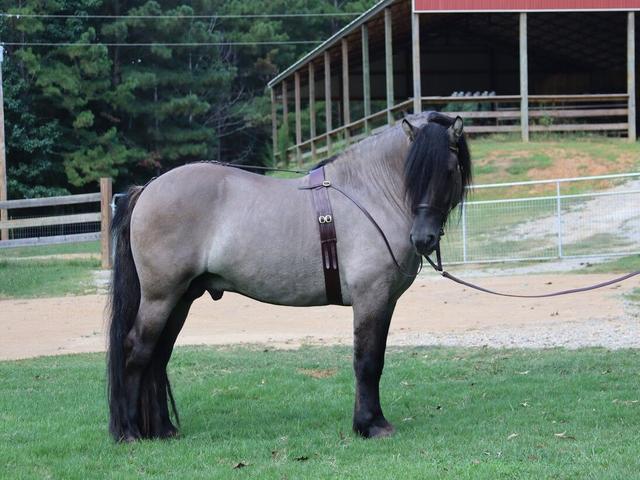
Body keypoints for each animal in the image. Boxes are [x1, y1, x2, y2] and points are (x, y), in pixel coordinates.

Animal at [107, 111, 472, 442]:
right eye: (412, 173)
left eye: (448, 170)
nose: (423, 238)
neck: (368, 194)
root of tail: (147, 189)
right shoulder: (371, 298)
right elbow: (367, 362)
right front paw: (370, 425)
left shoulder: (385, 301)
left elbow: (373, 360)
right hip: (160, 297)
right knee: (137, 351)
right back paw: (130, 432)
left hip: (180, 299)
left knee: (158, 356)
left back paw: (162, 429)